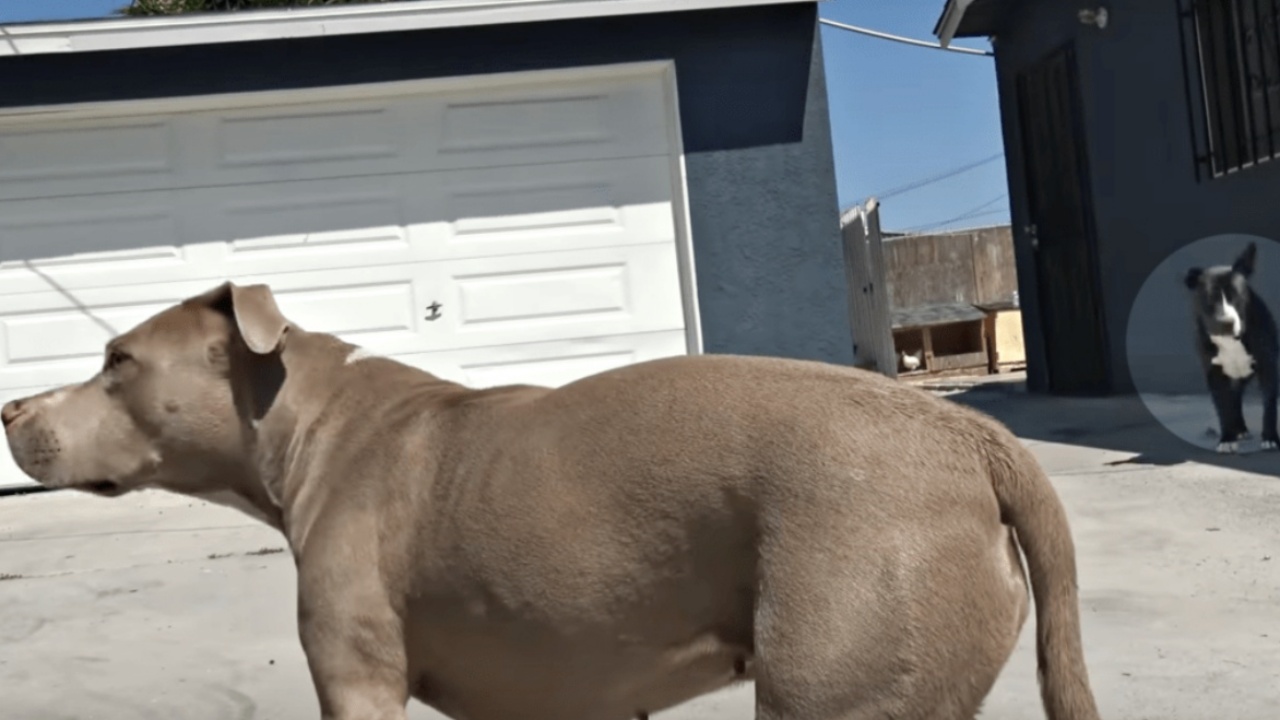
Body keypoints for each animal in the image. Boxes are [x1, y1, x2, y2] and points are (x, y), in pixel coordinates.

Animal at [2, 281, 1100, 717]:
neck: (304, 415)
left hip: (840, 668)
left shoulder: (356, 679)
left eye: (116, 360)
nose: (11, 406)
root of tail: (974, 440)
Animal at [1182, 243, 1274, 450]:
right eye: (1209, 299)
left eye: (1237, 297)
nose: (1226, 322)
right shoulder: (1215, 373)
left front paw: (1270, 437)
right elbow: (1223, 407)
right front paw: (1227, 438)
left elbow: (1269, 404)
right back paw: (1239, 428)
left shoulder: (1269, 366)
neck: (1231, 340)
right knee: (1234, 399)